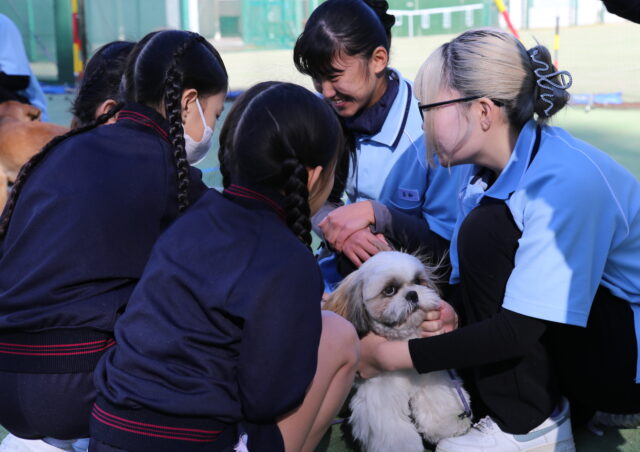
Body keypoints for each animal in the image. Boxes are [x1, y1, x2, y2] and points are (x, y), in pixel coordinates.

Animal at [324, 251, 470, 452]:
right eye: (389, 290)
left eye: (417, 281)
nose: (413, 294)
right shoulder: (379, 397)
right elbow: (393, 432)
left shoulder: (428, 376)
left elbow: (438, 399)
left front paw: (447, 425)